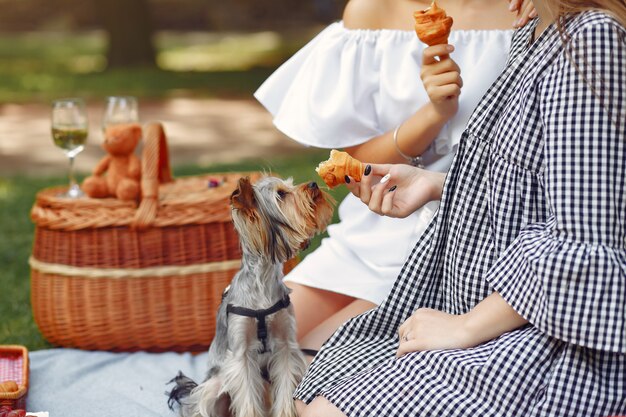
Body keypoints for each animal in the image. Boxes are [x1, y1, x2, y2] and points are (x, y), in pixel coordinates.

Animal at [166, 176, 332, 416]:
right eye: (281, 194)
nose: (313, 184)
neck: (263, 280)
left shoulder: (285, 347)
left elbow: (284, 388)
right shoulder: (240, 356)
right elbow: (247, 398)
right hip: (213, 386)